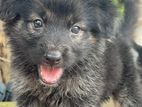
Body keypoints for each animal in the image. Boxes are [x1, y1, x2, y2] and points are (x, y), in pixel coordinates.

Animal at [0, 0, 141, 107]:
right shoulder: (26, 94)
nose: (52, 58)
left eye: (76, 28)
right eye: (37, 22)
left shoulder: (83, 96)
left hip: (129, 91)